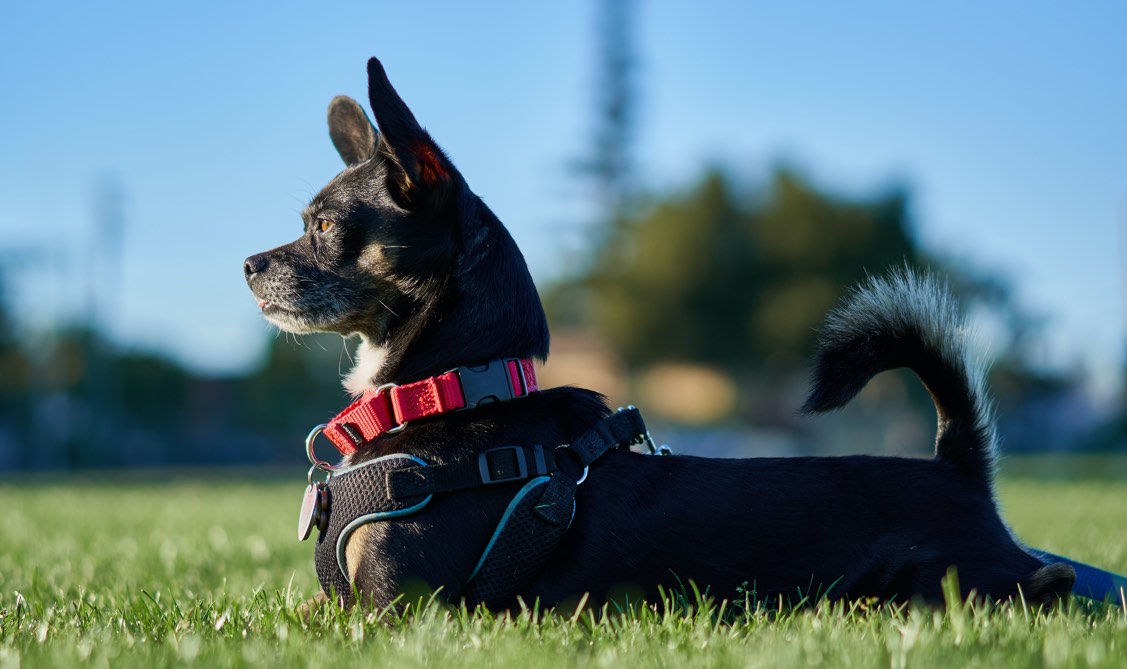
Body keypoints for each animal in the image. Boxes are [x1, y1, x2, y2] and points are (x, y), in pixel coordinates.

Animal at [244, 58, 1072, 608]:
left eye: (323, 227)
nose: (248, 264)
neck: (444, 391)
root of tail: (956, 469)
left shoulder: (398, 608)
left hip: (937, 581)